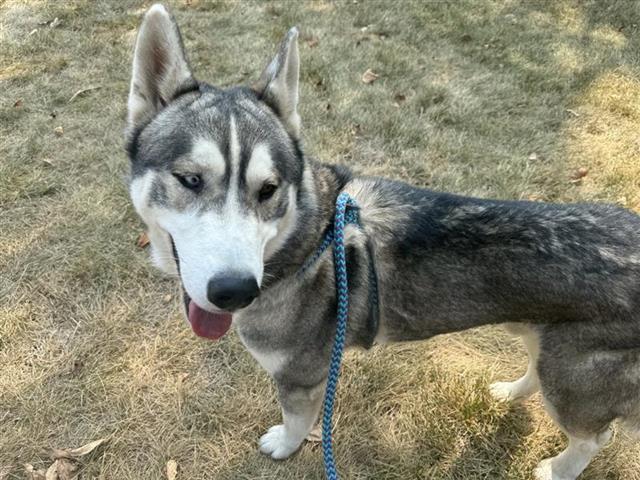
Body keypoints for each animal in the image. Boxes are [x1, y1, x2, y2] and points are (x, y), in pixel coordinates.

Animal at [125, 4, 640, 480]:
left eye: (268, 190)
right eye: (190, 179)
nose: (234, 291)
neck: (306, 243)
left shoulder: (302, 376)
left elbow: (297, 422)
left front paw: (284, 446)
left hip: (574, 378)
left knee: (594, 436)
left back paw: (558, 468)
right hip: (545, 340)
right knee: (538, 369)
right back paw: (509, 392)